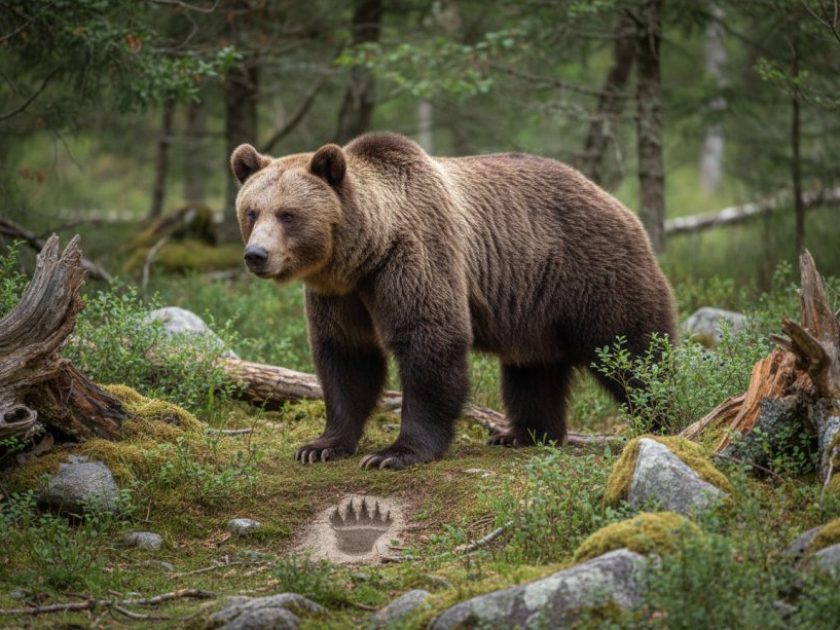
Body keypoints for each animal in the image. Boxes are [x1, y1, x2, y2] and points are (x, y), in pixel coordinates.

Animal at [230, 132, 676, 470]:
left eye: (288, 214)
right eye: (252, 211)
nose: (256, 255)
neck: (365, 255)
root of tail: (618, 204)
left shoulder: (416, 255)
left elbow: (429, 340)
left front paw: (396, 453)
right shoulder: (340, 296)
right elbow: (346, 357)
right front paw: (320, 446)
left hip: (593, 272)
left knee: (633, 351)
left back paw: (665, 419)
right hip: (534, 309)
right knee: (532, 370)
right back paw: (522, 434)